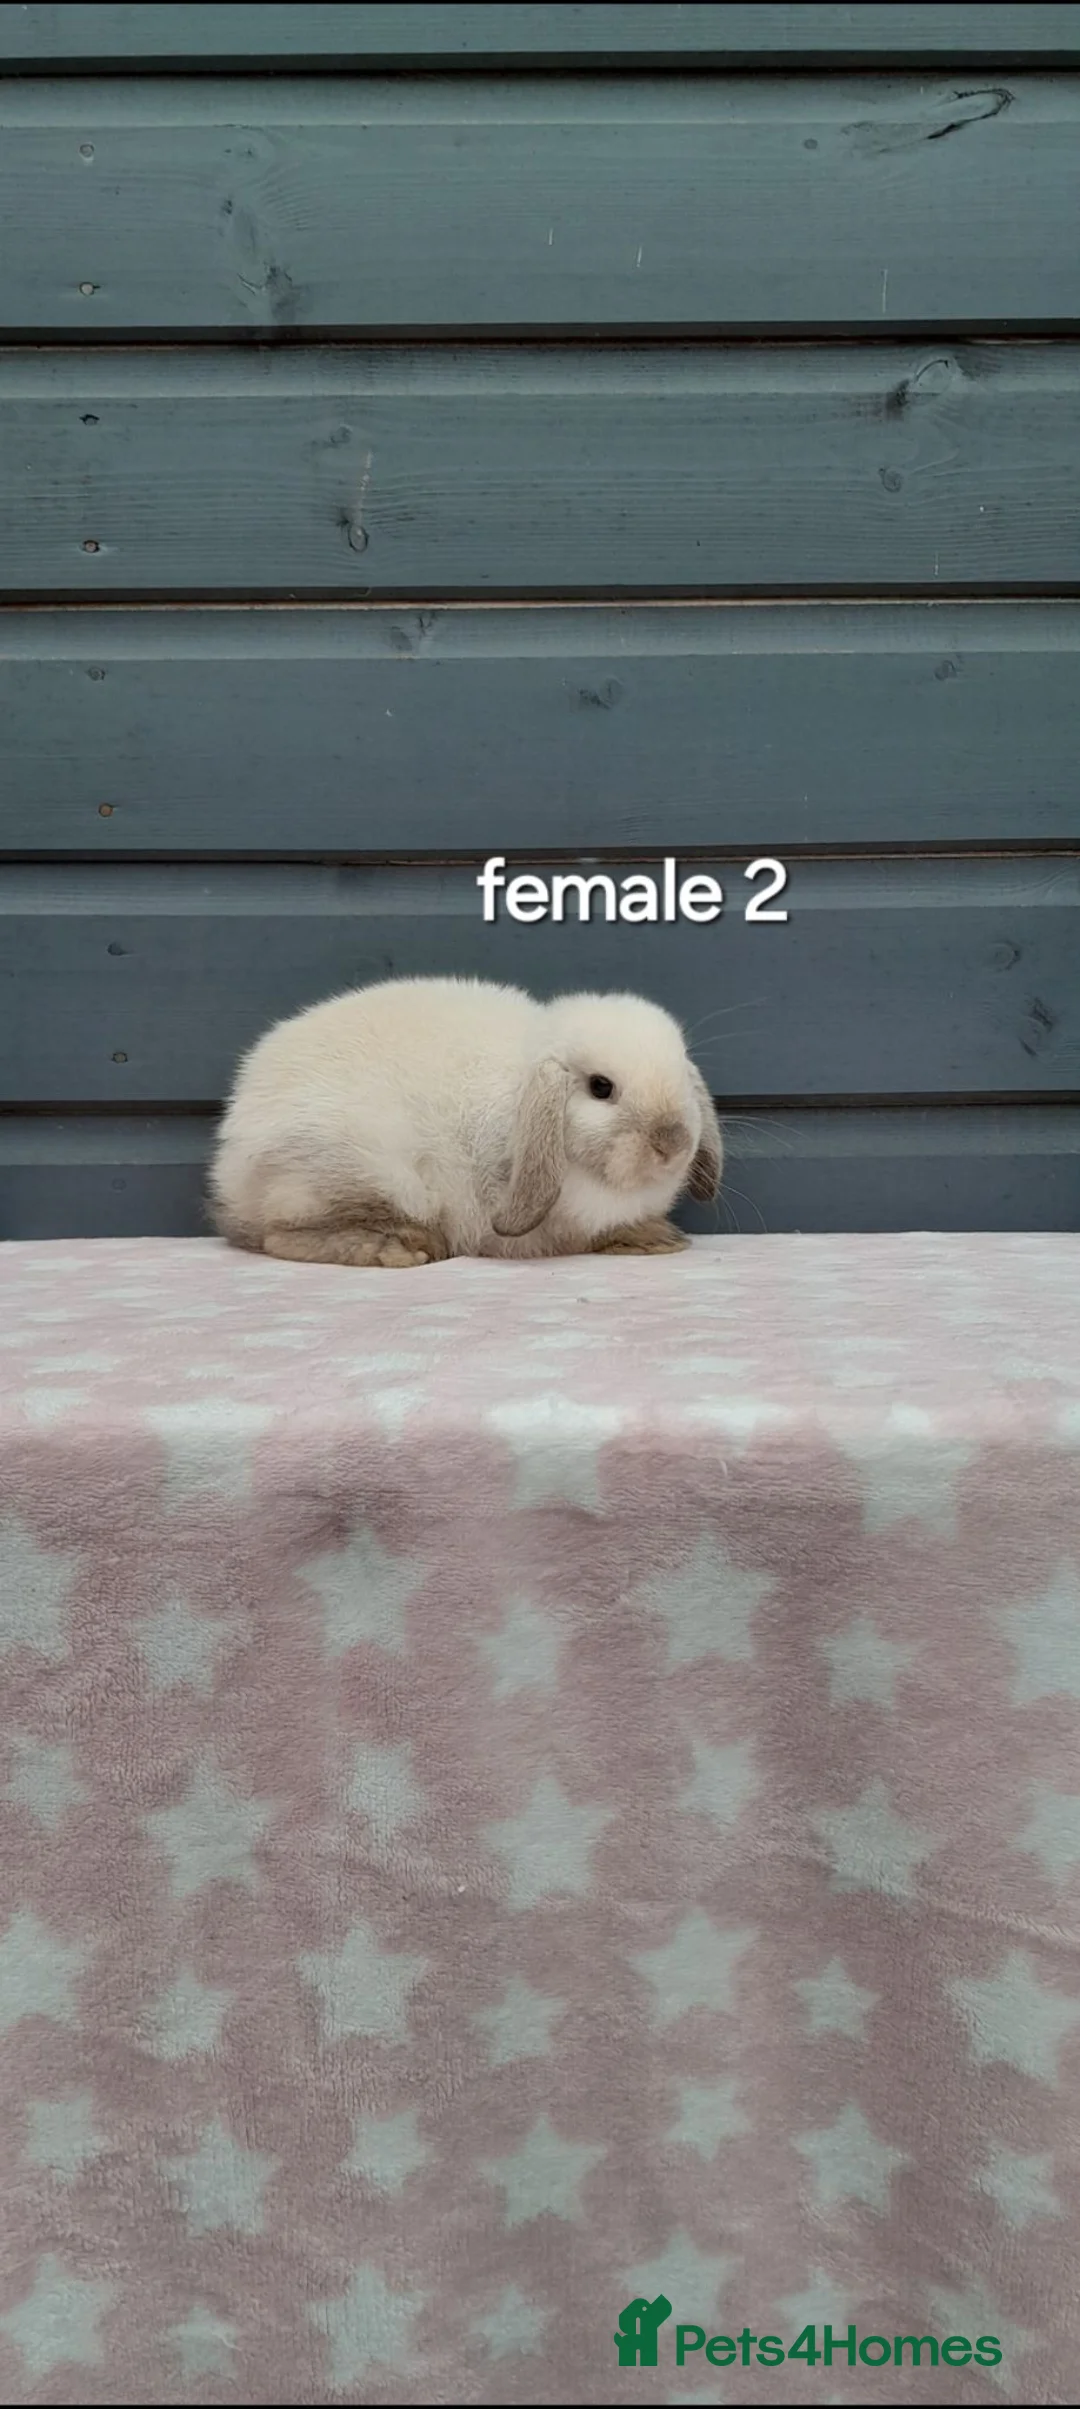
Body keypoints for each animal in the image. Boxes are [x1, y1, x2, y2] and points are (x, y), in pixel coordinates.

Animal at [208, 975, 722, 1267]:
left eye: (682, 1074)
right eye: (601, 1087)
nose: (673, 1141)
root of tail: (231, 1174)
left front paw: (654, 1237)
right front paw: (654, 1240)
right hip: (364, 1172)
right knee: (280, 1236)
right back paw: (399, 1249)